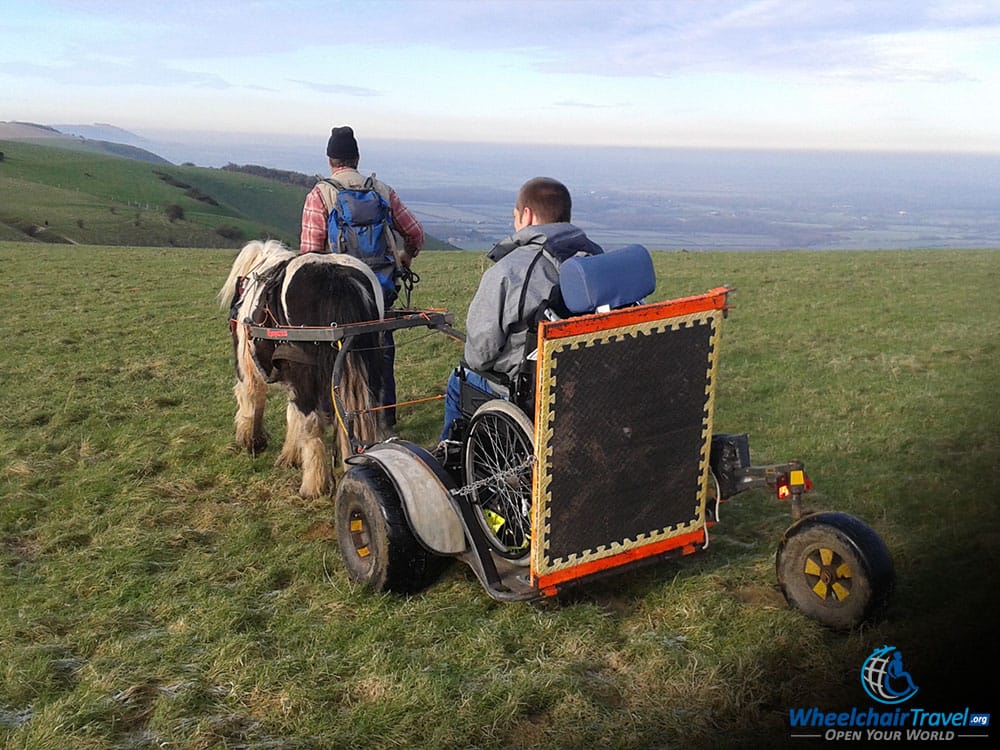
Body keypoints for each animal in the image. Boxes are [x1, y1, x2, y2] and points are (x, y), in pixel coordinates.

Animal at [219, 241, 386, 500]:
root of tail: (336, 277)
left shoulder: (250, 370)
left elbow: (251, 400)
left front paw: (252, 441)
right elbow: (292, 412)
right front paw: (290, 455)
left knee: (311, 420)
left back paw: (312, 485)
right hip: (369, 362)